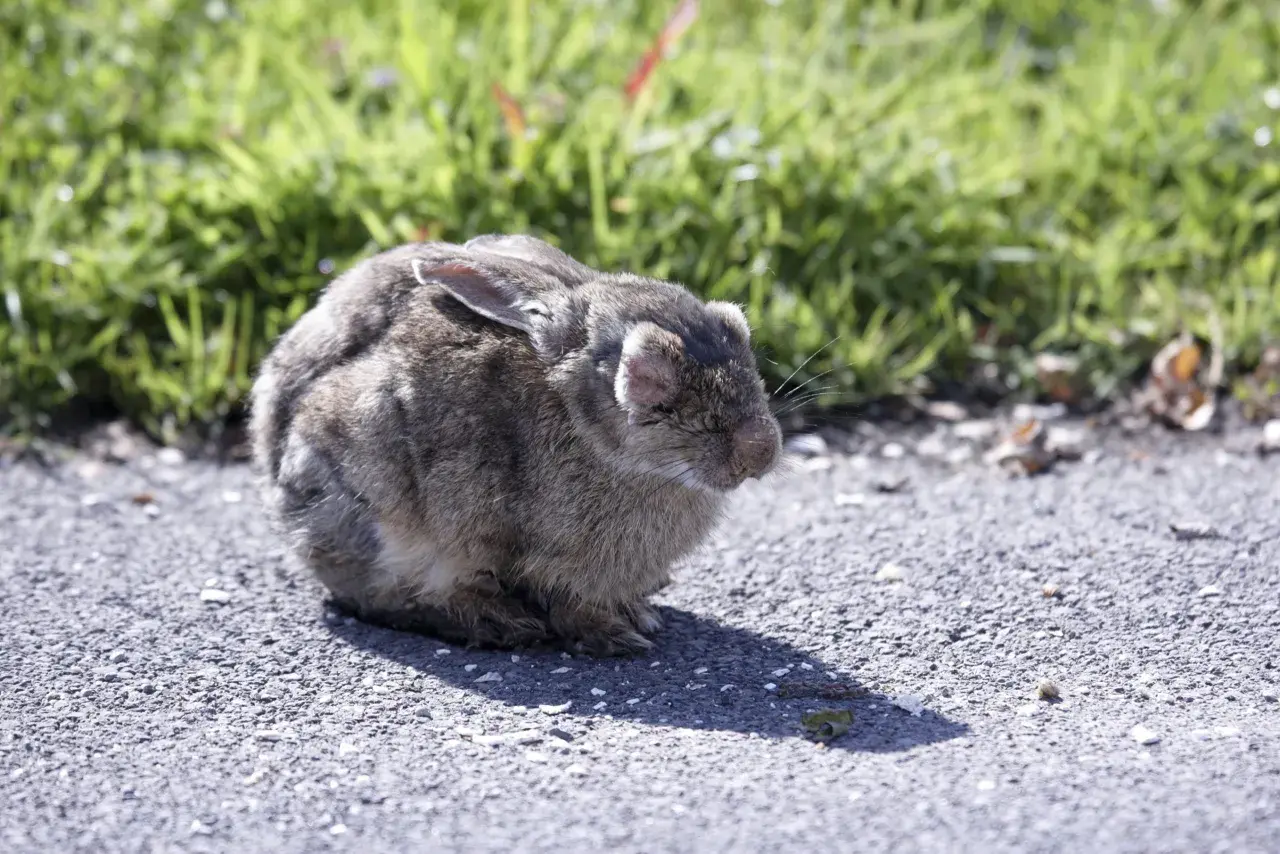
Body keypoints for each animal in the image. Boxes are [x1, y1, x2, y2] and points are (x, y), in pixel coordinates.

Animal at [248, 234, 783, 656]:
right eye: (650, 380)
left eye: (737, 333)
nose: (759, 450)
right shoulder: (552, 558)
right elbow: (571, 604)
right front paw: (615, 638)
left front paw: (637, 618)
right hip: (365, 497)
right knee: (387, 597)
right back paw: (497, 623)